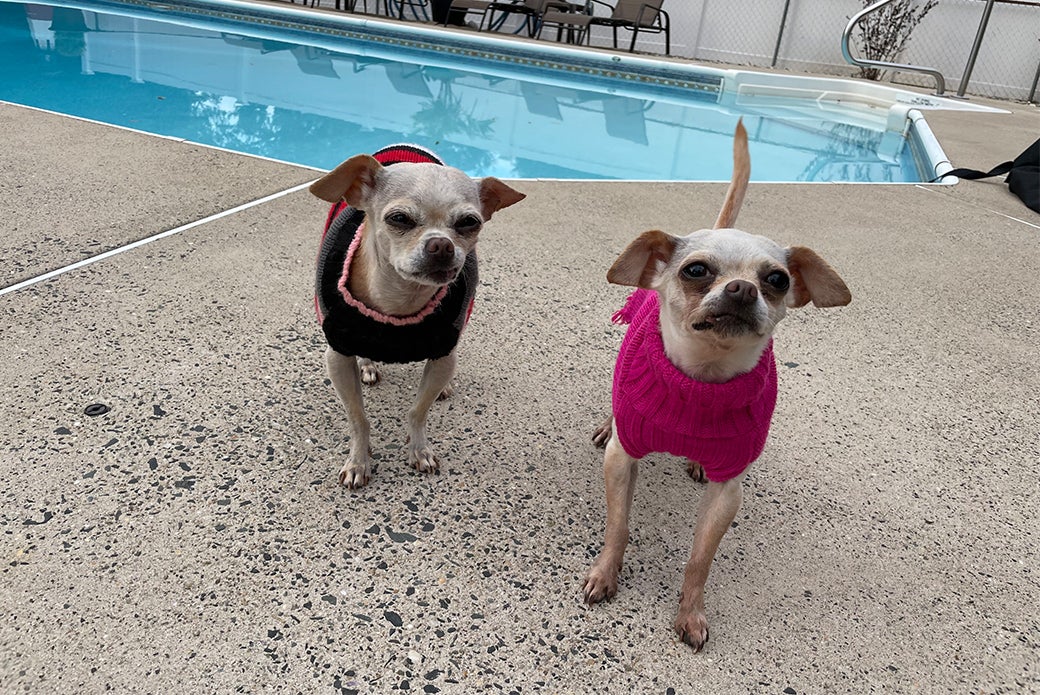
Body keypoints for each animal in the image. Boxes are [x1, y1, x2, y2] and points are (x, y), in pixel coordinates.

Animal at [311, 144, 524, 488]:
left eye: (469, 222)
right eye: (399, 219)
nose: (441, 245)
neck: (400, 300)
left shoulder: (442, 352)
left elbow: (418, 410)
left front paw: (419, 449)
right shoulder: (338, 357)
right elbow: (358, 418)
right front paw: (359, 460)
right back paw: (367, 365)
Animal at [583, 121, 852, 651]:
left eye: (777, 279)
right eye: (696, 270)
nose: (743, 289)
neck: (702, 381)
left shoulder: (728, 492)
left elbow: (699, 560)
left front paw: (690, 612)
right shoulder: (622, 461)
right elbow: (618, 526)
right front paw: (606, 574)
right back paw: (609, 423)